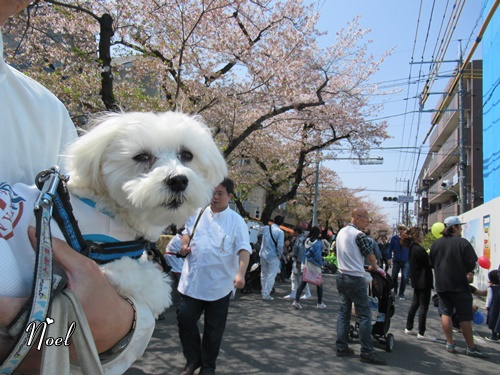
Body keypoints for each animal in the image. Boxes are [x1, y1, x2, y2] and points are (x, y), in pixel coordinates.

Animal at [0, 111, 227, 318]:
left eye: (187, 155)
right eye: (141, 156)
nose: (178, 180)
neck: (109, 209)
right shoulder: (105, 264)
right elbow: (148, 278)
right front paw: (159, 292)